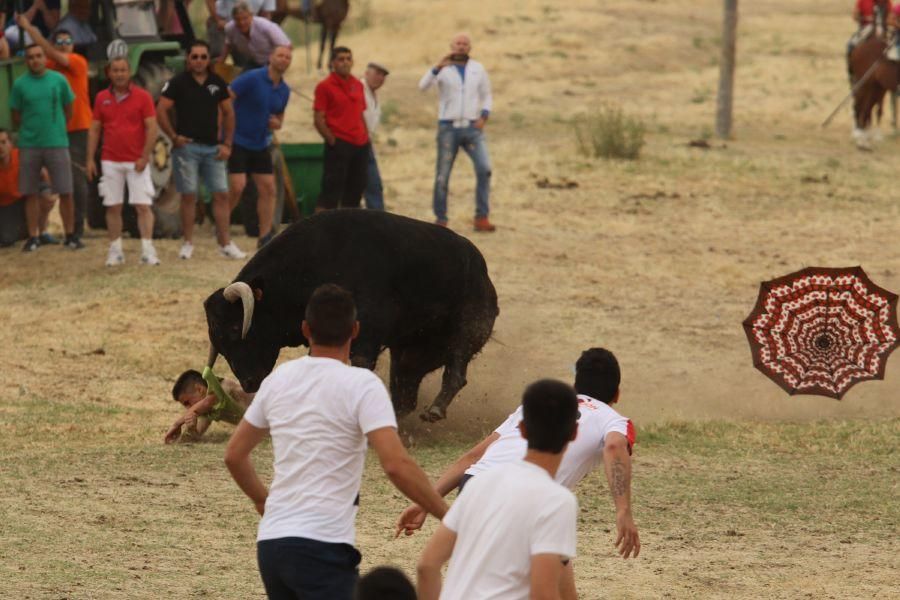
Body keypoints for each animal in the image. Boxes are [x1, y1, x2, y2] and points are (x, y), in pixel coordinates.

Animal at [205, 211, 500, 422]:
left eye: (235, 328)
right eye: (218, 340)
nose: (248, 383)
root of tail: (482, 269)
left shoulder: (366, 339)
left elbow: (360, 365)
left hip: (467, 330)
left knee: (455, 373)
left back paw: (434, 410)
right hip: (409, 354)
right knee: (406, 392)